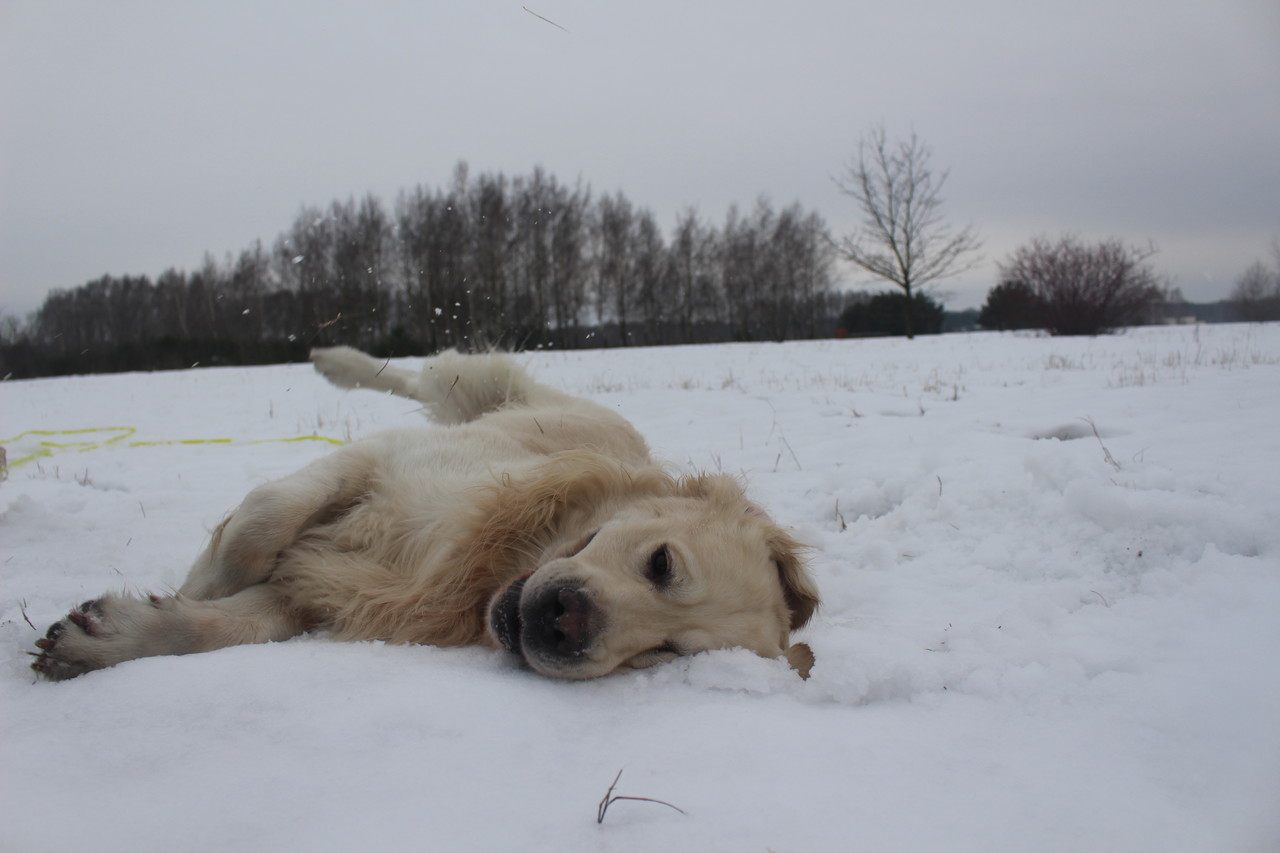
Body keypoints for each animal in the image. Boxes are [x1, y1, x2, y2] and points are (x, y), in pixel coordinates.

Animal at [31, 347, 818, 681]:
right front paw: (199, 579)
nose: (566, 624)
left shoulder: (324, 591)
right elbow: (260, 522)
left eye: (666, 652)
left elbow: (230, 625)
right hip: (485, 387)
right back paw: (335, 359)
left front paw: (109, 638)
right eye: (661, 563)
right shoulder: (380, 461)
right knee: (422, 374)